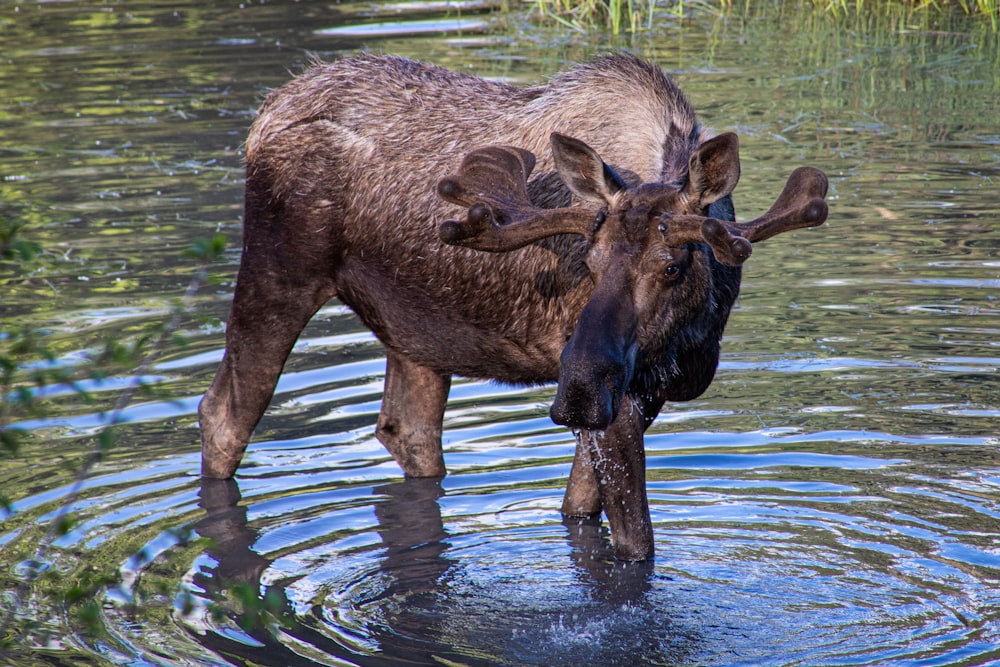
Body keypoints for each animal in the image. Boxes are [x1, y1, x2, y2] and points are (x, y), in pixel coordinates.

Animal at [197, 54, 828, 560]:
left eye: (673, 266)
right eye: (588, 261)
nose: (578, 385)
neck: (692, 333)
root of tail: (265, 115)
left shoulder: (641, 393)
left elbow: (579, 511)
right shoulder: (619, 398)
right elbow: (636, 546)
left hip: (413, 331)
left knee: (407, 429)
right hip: (279, 274)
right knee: (223, 414)